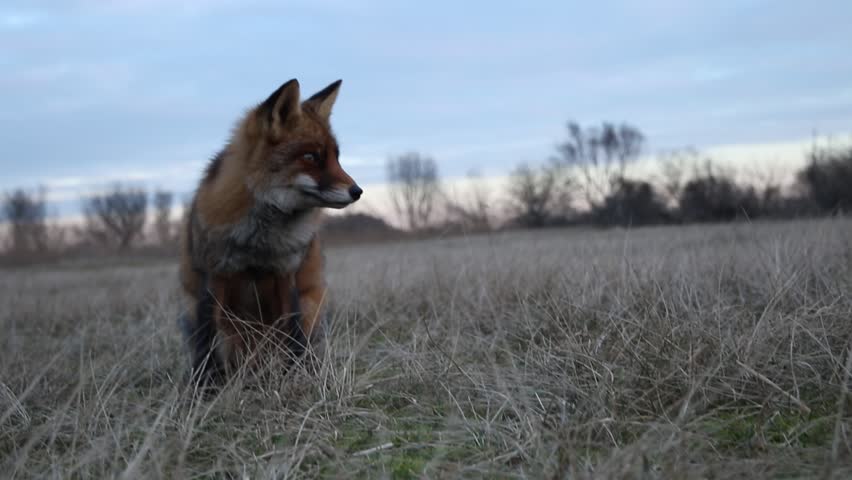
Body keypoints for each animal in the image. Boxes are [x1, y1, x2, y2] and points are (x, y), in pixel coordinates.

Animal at [177, 78, 362, 383]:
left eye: (337, 157)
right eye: (311, 156)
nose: (357, 191)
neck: (259, 242)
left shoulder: (287, 275)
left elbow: (294, 336)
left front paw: (296, 377)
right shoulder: (213, 276)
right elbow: (207, 343)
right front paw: (206, 386)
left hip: (312, 305)